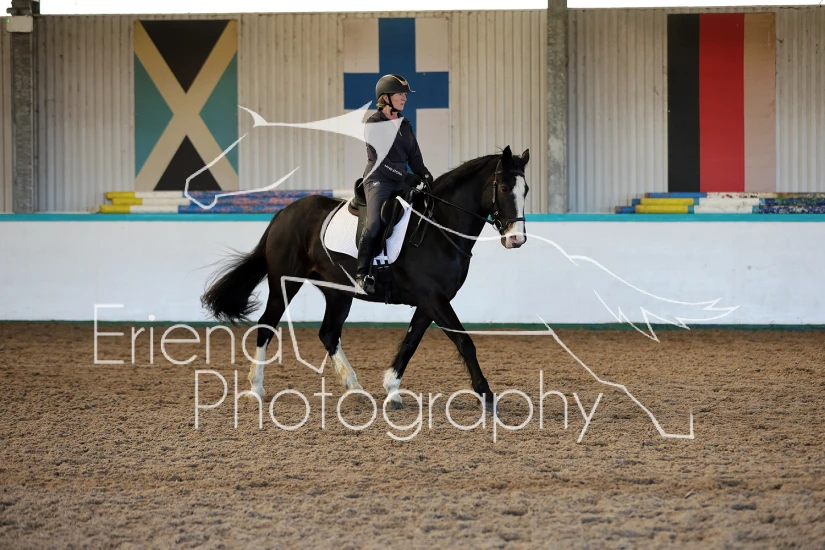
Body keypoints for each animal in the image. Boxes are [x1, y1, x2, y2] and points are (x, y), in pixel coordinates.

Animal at [201, 145, 530, 413]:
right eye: (503, 187)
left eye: (525, 190)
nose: (516, 239)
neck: (437, 227)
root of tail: (285, 212)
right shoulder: (434, 299)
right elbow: (464, 342)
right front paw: (487, 396)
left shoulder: (430, 302)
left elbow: (410, 342)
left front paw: (392, 390)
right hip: (285, 282)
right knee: (267, 325)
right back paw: (255, 389)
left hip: (338, 293)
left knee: (328, 334)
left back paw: (355, 388)